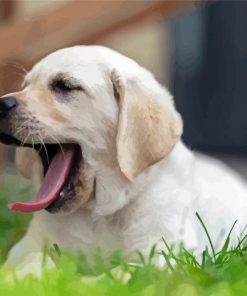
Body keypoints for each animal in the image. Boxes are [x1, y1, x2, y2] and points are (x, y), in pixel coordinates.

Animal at [0, 45, 247, 272]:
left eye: (65, 86)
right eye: (25, 86)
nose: (1, 104)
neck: (99, 215)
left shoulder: (166, 253)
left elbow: (124, 269)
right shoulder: (28, 245)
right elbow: (30, 262)